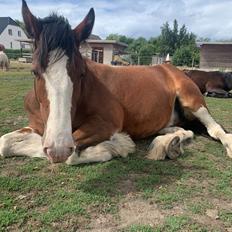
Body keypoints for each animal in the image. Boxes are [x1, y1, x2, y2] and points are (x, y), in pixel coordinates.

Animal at [0, 0, 232, 165]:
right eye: (34, 71)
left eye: (81, 73)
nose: (57, 148)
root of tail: (169, 68)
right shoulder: (38, 128)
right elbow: (5, 143)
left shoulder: (105, 124)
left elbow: (72, 153)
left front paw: (118, 145)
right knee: (185, 130)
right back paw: (169, 144)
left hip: (192, 101)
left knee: (214, 128)